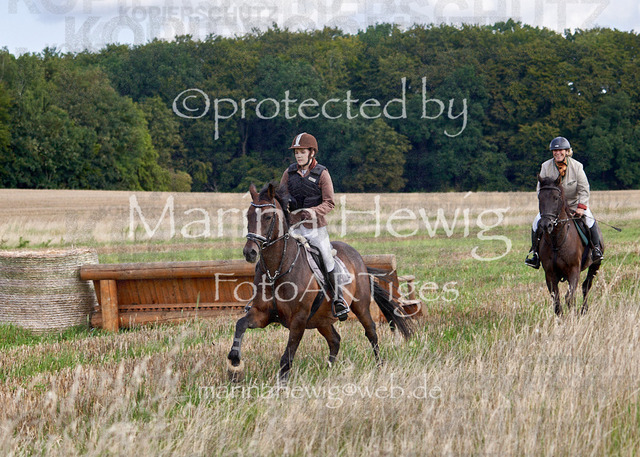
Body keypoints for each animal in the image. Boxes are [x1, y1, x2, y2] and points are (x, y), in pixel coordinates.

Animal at [227, 182, 415, 383]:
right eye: (248, 215)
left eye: (268, 217)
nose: (250, 252)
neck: (276, 271)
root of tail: (358, 257)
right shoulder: (262, 314)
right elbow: (240, 324)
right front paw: (234, 362)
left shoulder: (299, 320)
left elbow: (287, 356)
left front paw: (282, 384)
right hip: (321, 319)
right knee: (335, 340)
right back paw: (327, 371)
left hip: (360, 306)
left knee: (370, 331)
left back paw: (379, 367)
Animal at [537, 175, 603, 315]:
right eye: (540, 197)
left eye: (556, 198)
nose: (546, 225)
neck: (556, 240)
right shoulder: (549, 274)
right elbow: (556, 302)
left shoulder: (574, 271)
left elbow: (569, 298)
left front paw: (573, 317)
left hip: (595, 265)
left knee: (586, 286)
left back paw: (584, 310)